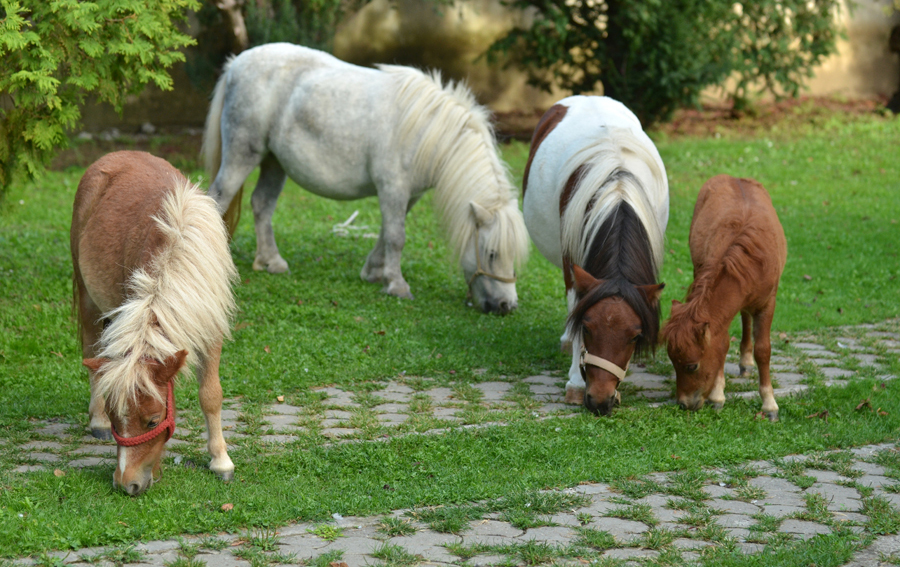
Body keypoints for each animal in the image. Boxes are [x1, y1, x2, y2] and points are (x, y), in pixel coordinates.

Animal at [71, 152, 239, 496]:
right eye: (116, 419)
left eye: (152, 420)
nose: (127, 483)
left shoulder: (210, 329)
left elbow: (211, 395)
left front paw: (220, 461)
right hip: (87, 296)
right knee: (92, 349)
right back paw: (96, 421)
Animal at [202, 43, 528, 316]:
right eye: (492, 253)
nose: (506, 306)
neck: (426, 132)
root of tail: (236, 63)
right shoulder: (393, 189)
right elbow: (397, 236)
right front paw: (397, 285)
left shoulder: (408, 195)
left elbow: (387, 232)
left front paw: (374, 272)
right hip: (243, 155)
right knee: (218, 199)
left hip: (274, 162)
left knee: (262, 205)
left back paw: (271, 262)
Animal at [520, 96, 668, 418]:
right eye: (586, 327)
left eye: (635, 336)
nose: (600, 400)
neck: (618, 188)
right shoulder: (572, 259)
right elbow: (575, 300)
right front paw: (576, 381)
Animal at [660, 175, 788, 420]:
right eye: (672, 362)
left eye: (692, 366)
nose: (683, 404)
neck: (750, 259)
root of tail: (735, 177)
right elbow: (722, 343)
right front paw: (718, 396)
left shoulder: (768, 303)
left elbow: (763, 350)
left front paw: (769, 404)